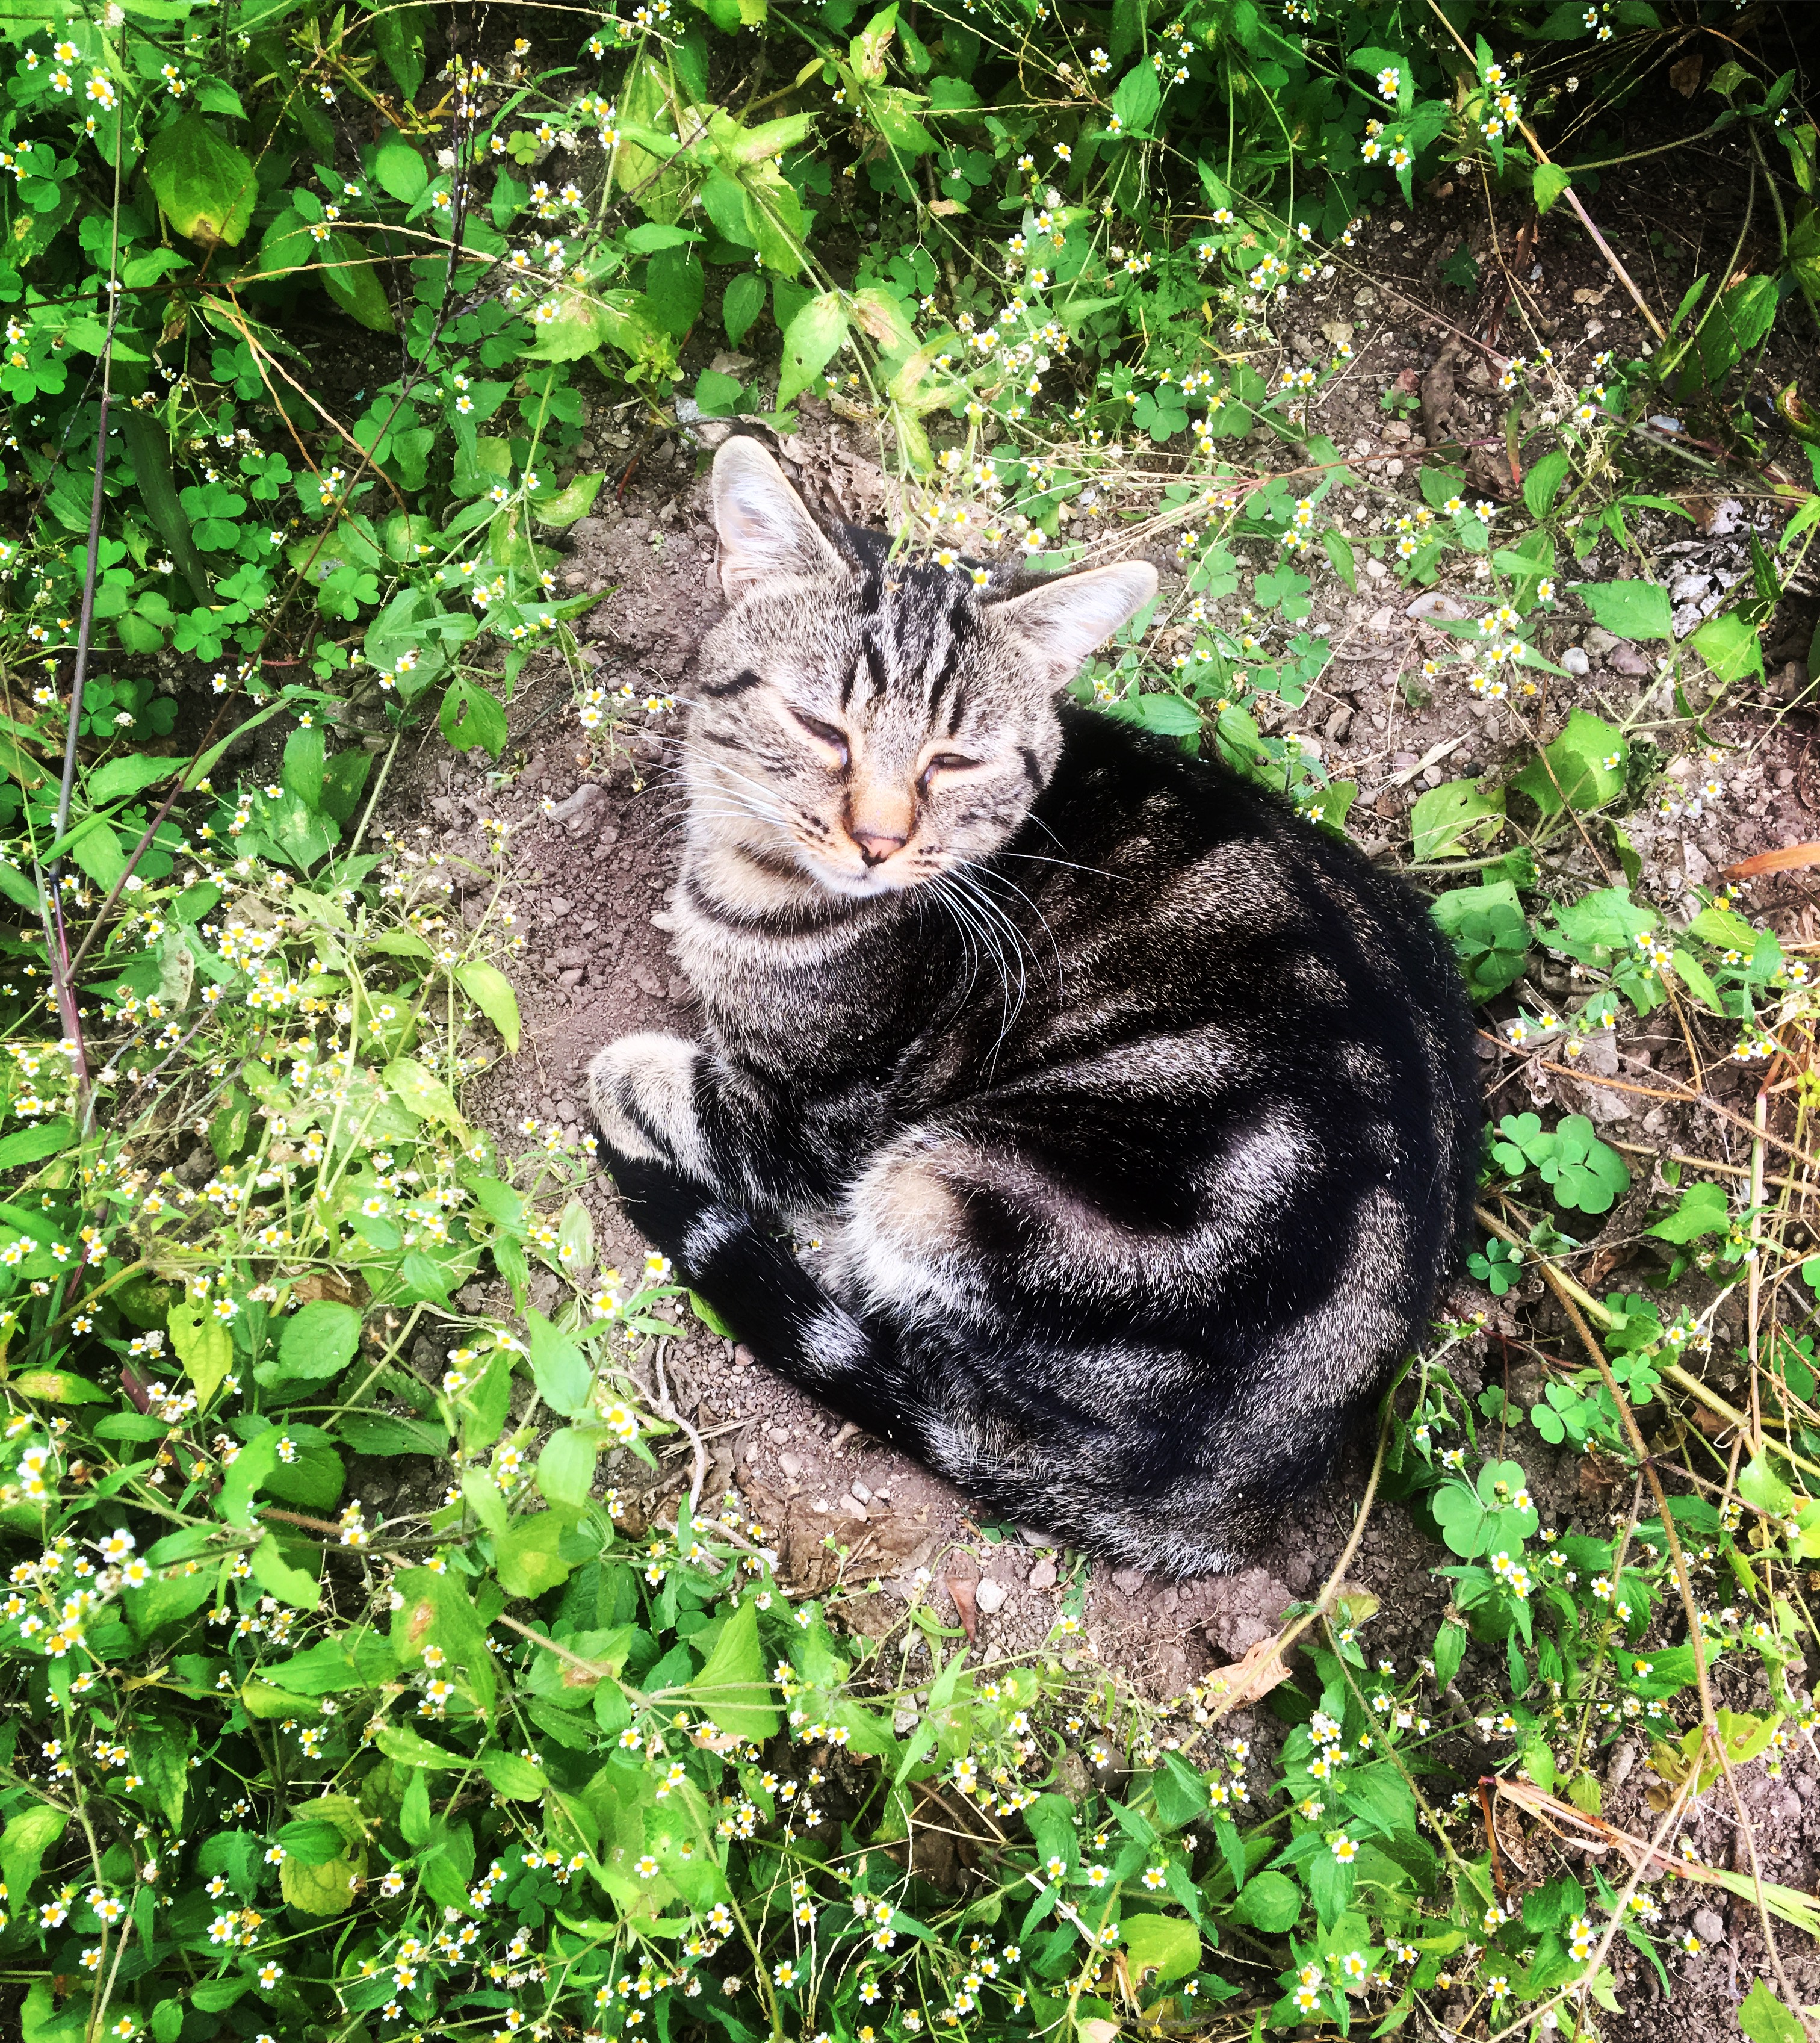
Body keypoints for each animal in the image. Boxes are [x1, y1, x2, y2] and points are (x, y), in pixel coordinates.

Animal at [592, 435, 1487, 1577]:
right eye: (821, 728)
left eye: (952, 760)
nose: (877, 840)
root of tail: (1242, 1495)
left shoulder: (811, 1119)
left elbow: (631, 1070)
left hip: (940, 1186)